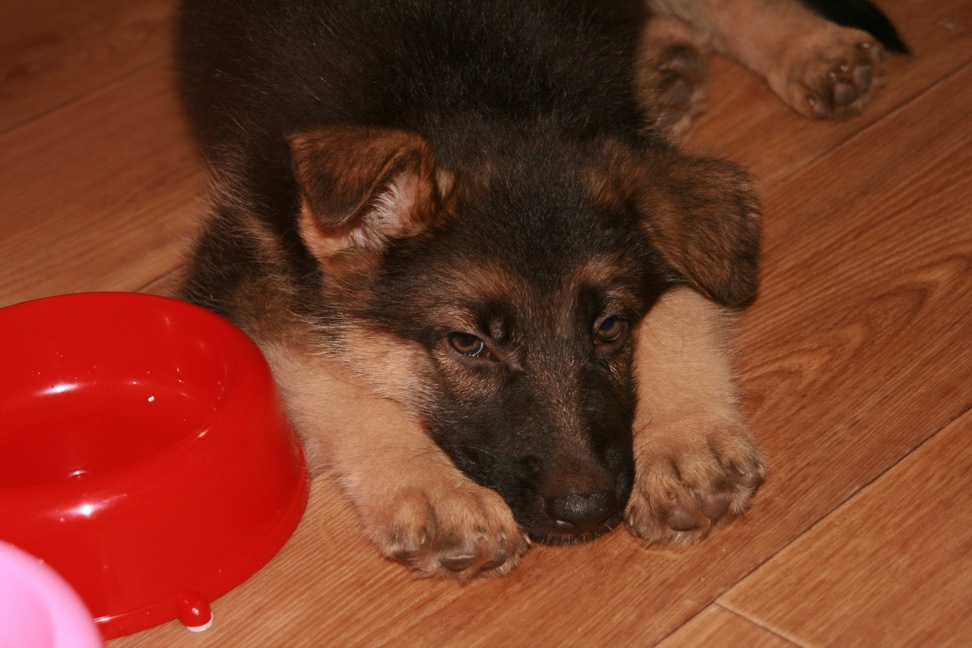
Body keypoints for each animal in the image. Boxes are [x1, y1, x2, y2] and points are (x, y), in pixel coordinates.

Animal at [175, 0, 905, 579]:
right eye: (467, 343)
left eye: (610, 327)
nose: (587, 510)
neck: (470, 89)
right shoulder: (240, 270)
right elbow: (335, 380)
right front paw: (437, 492)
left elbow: (683, 304)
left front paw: (683, 440)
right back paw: (669, 59)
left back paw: (802, 47)